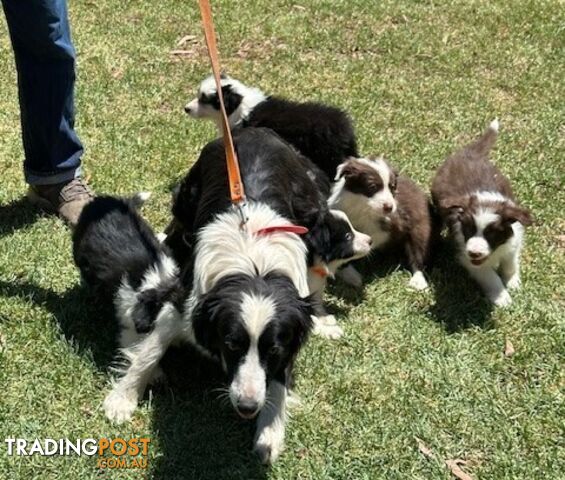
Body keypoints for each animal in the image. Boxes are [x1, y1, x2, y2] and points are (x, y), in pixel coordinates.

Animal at [326, 157, 436, 288]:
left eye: (392, 187)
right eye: (372, 186)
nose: (389, 207)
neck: (363, 207)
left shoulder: (395, 224)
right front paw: (350, 274)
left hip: (420, 226)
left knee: (418, 251)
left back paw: (418, 280)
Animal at [430, 120, 532, 308]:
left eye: (492, 233)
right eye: (469, 229)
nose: (474, 253)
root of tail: (468, 152)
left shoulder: (514, 240)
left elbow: (511, 262)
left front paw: (513, 282)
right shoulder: (468, 256)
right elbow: (490, 277)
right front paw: (502, 297)